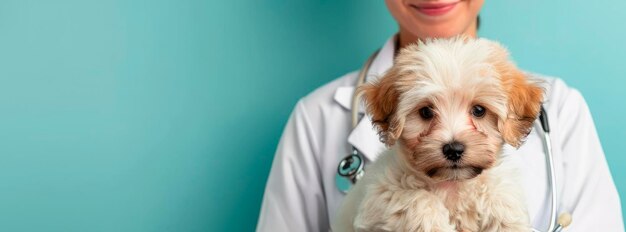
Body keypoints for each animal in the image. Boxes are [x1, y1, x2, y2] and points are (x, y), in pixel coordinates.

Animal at [332, 37, 540, 231]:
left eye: (479, 110)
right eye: (426, 112)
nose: (454, 150)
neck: (452, 184)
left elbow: (499, 195)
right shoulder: (380, 195)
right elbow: (413, 197)